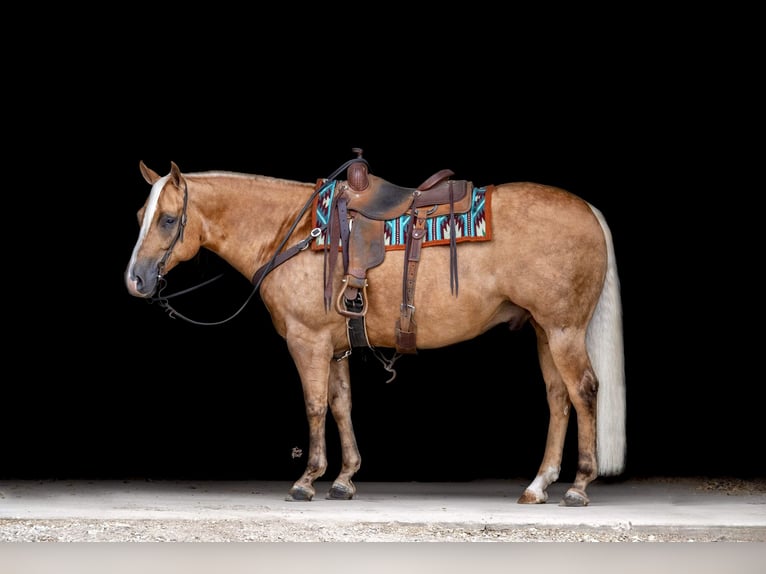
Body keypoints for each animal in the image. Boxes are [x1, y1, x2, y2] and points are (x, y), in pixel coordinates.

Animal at [126, 154, 628, 508]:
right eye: (139, 216)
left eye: (167, 219)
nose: (135, 280)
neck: (297, 232)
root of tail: (588, 209)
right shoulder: (335, 345)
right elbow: (341, 404)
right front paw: (345, 478)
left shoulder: (307, 341)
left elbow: (314, 405)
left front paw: (307, 480)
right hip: (545, 330)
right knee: (558, 398)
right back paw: (539, 485)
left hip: (564, 330)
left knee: (584, 391)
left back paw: (579, 486)